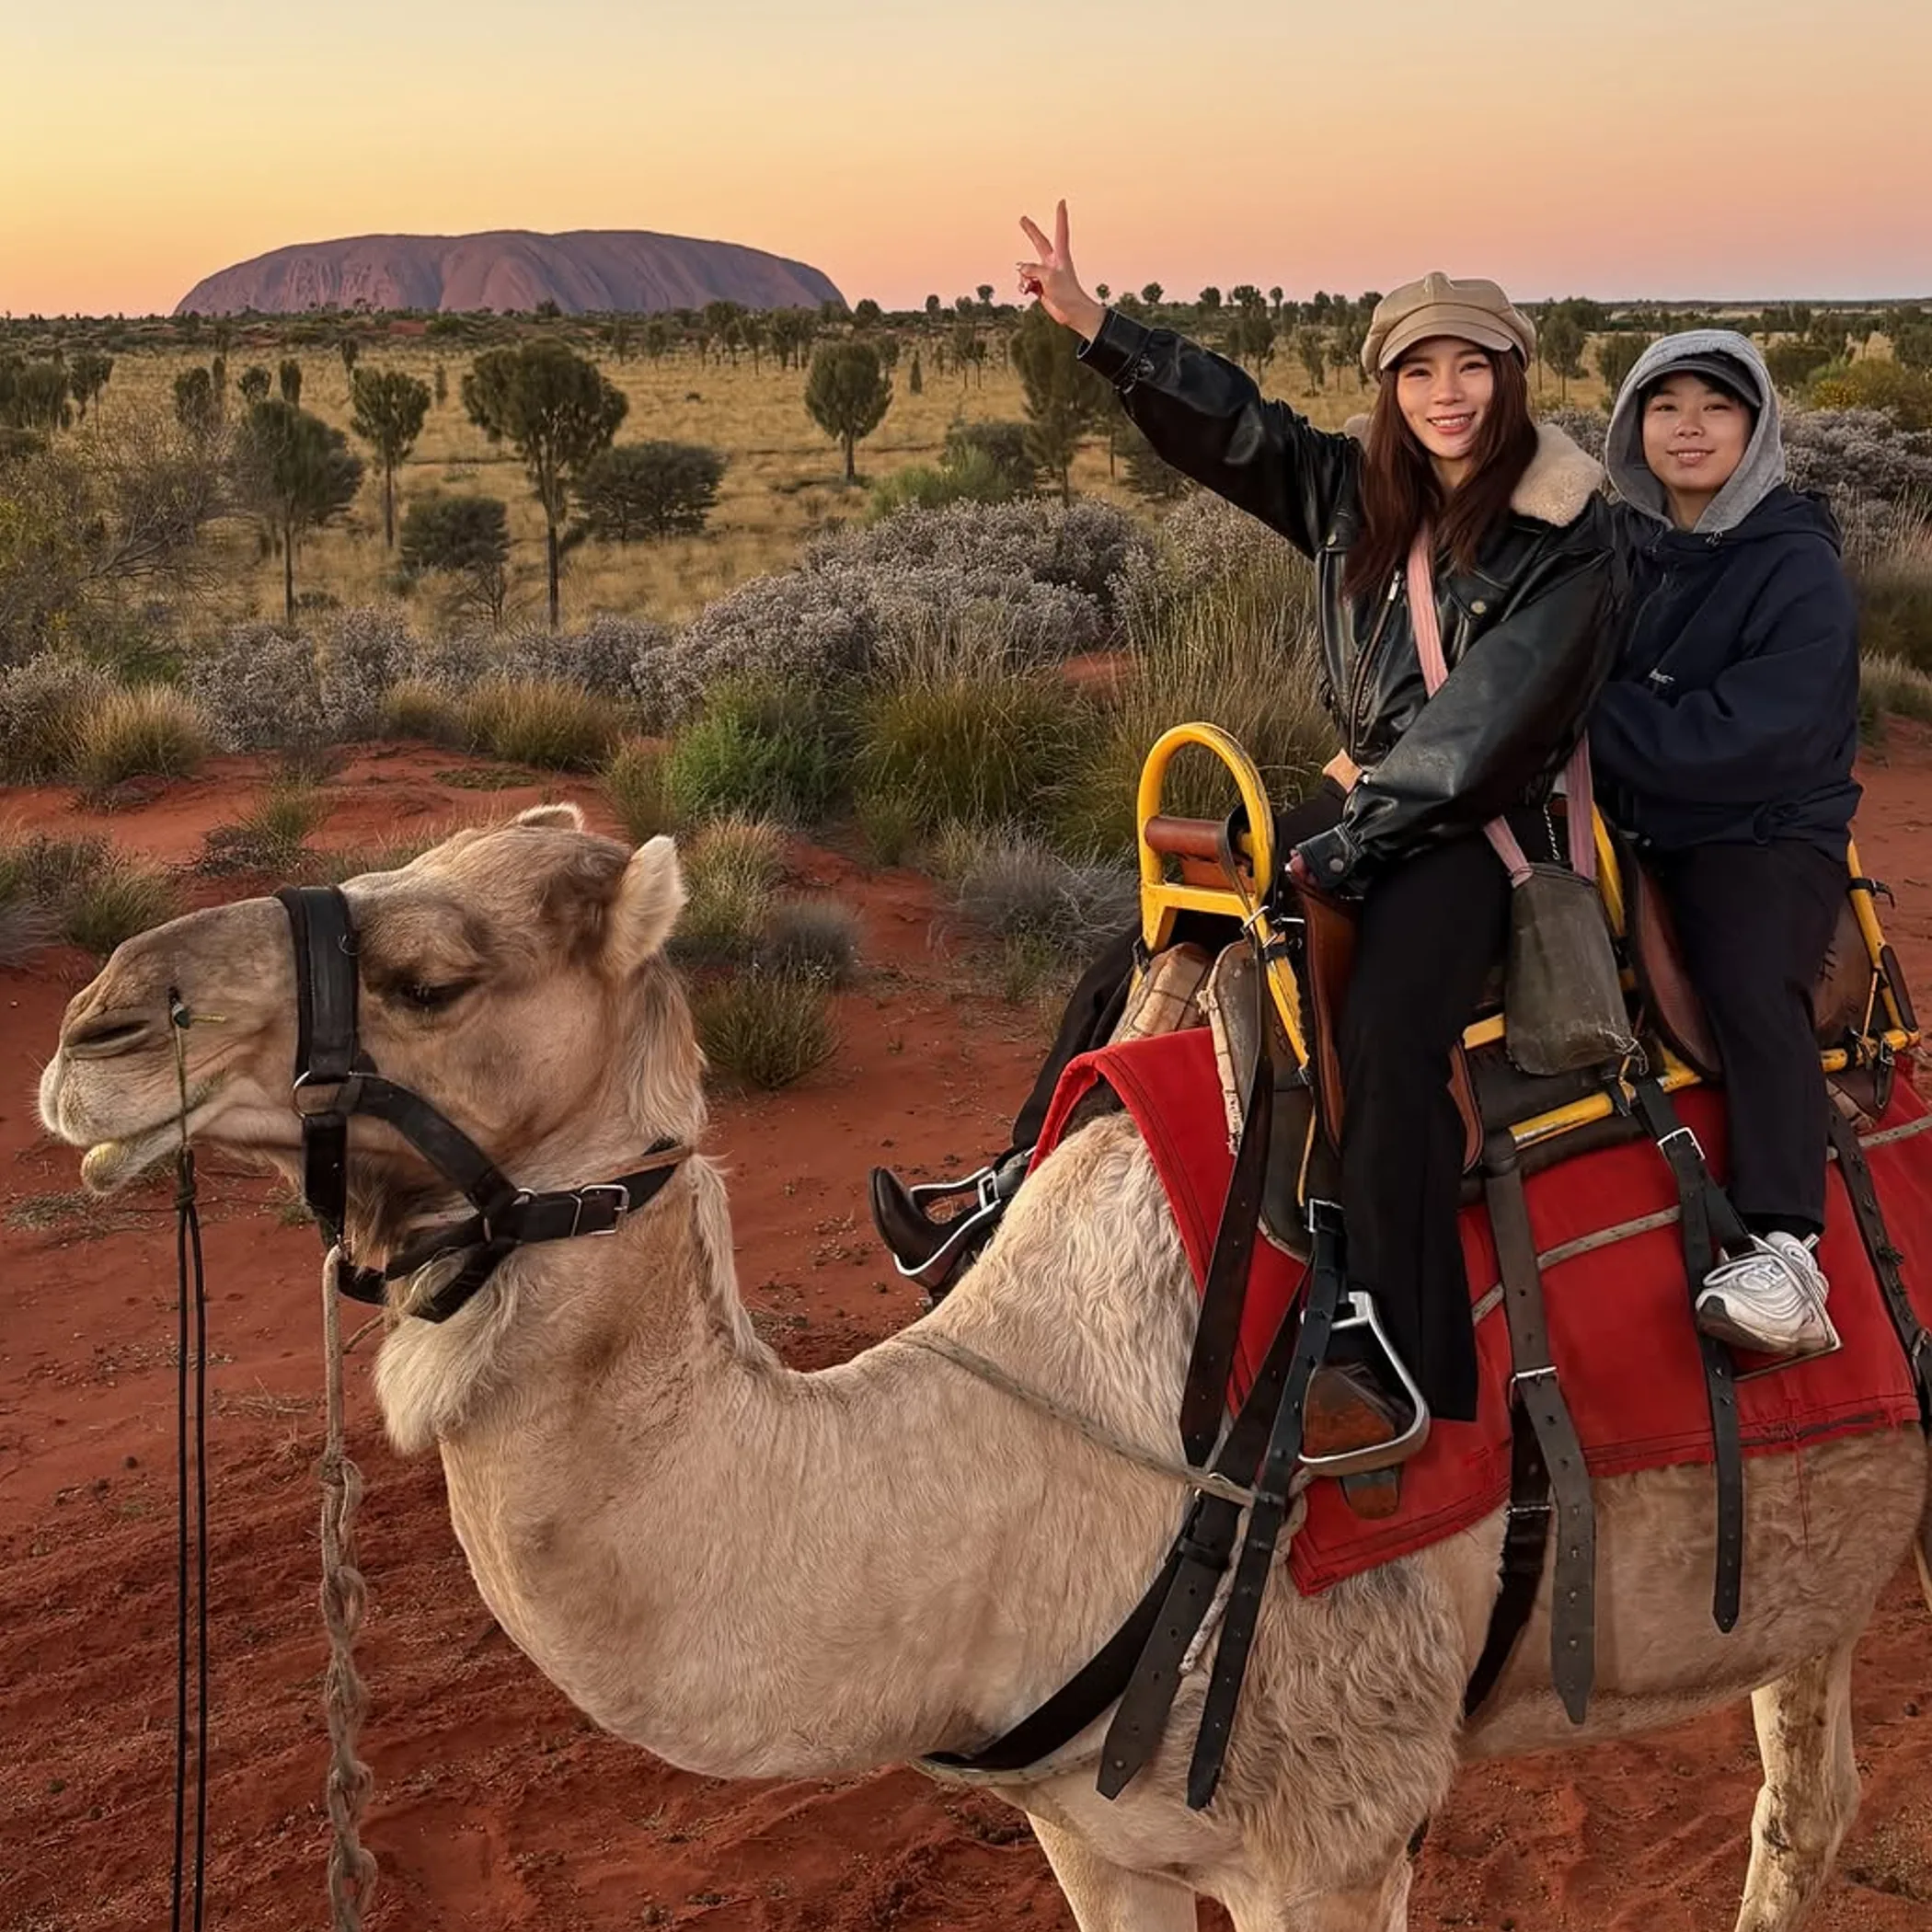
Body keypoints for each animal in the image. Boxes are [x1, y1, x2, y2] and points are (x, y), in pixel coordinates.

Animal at [36, 804, 1932, 1932]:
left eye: (436, 977)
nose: (96, 1029)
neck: (1044, 1457)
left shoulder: (1344, 1823)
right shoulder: (1094, 1836)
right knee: (1806, 1786)